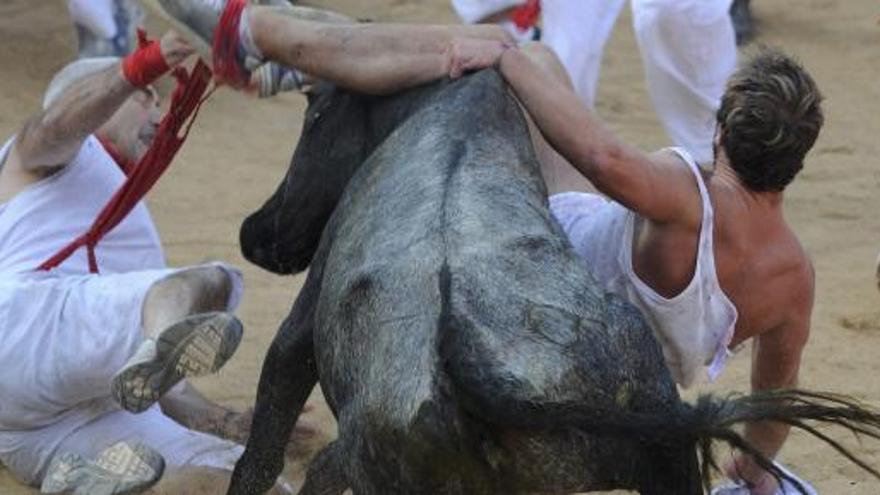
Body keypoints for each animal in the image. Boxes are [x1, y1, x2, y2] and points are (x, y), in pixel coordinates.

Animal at [225, 70, 880, 495]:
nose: (253, 233)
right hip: (664, 454)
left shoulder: (300, 324)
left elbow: (263, 440)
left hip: (363, 469)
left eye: (314, 116)